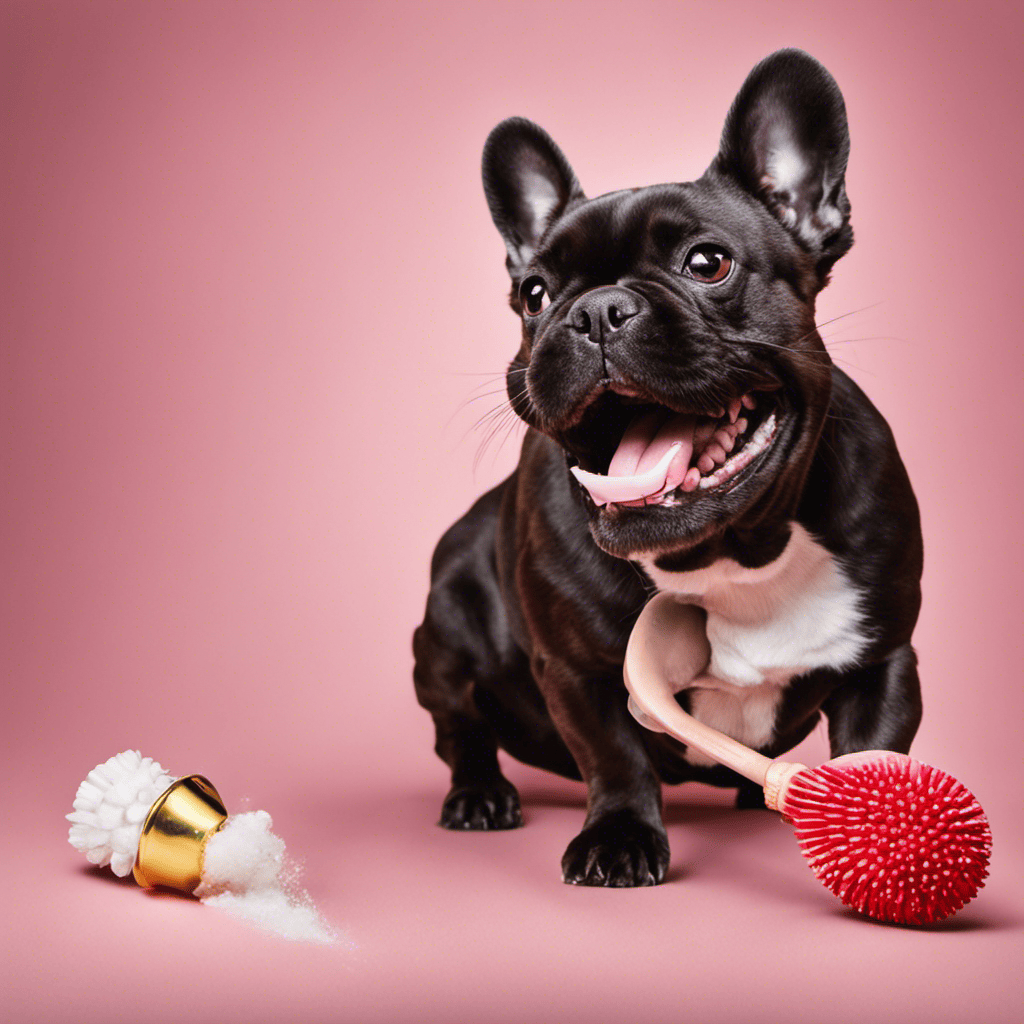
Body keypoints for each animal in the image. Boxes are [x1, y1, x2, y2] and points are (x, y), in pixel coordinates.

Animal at [411, 48, 925, 884]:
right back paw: (479, 795)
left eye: (707, 263)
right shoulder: (577, 672)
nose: (595, 310)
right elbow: (614, 755)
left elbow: (874, 752)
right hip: (445, 634)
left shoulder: (884, 659)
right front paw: (620, 835)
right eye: (534, 294)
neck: (731, 555)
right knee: (461, 732)